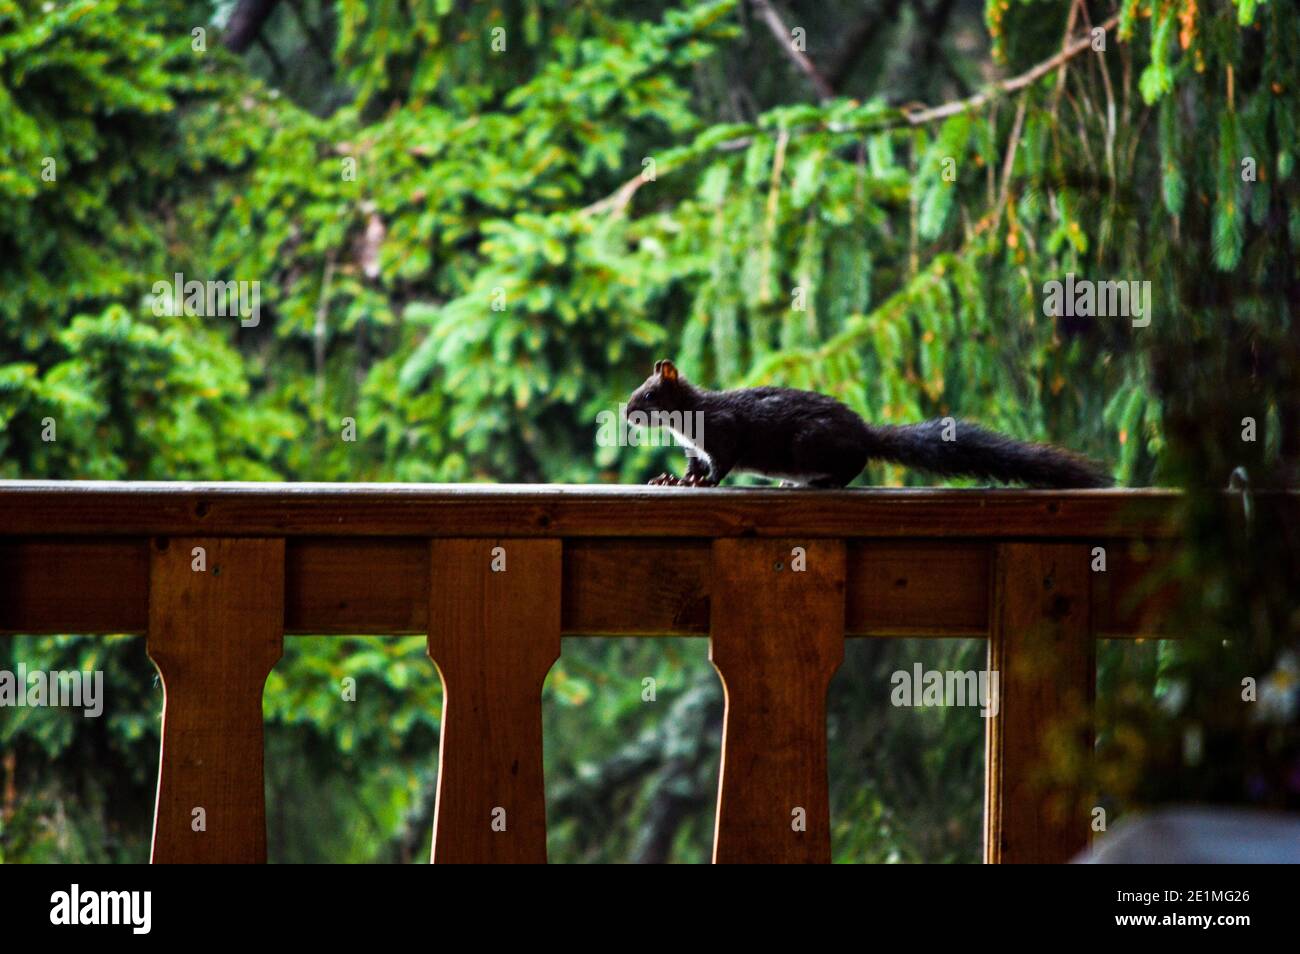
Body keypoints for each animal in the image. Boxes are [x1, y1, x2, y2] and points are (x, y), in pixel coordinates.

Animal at [626, 359, 1112, 489]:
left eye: (648, 396)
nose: (627, 414)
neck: (688, 421)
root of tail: (861, 430)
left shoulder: (724, 433)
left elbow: (722, 466)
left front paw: (704, 484)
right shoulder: (695, 448)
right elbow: (694, 466)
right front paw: (673, 480)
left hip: (811, 442)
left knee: (856, 463)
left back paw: (823, 482)